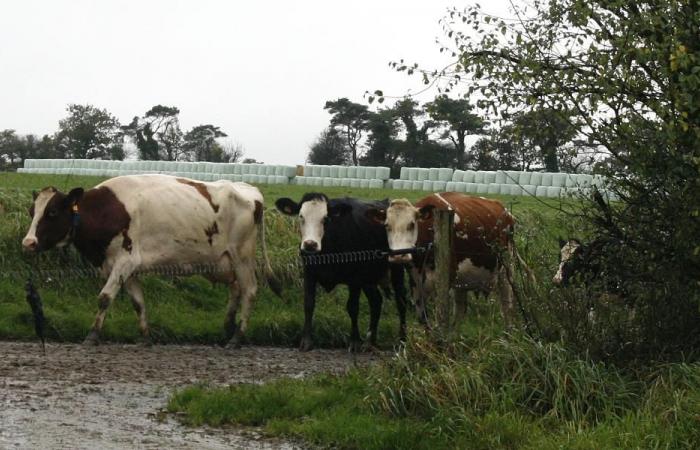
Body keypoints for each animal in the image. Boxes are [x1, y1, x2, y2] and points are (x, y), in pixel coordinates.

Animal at [19, 174, 276, 346]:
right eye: (32, 212)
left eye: (52, 212)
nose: (28, 242)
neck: (106, 210)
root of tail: (250, 189)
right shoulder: (126, 268)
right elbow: (138, 303)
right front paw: (144, 337)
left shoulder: (126, 260)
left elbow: (104, 297)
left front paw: (92, 336)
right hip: (220, 263)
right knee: (235, 289)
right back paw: (228, 326)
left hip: (242, 256)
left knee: (249, 291)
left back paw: (237, 337)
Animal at [274, 193, 408, 352]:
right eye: (301, 216)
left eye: (325, 218)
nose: (310, 244)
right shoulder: (309, 273)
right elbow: (308, 304)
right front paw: (306, 341)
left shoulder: (354, 279)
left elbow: (353, 307)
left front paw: (354, 341)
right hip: (368, 277)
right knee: (376, 301)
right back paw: (370, 341)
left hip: (396, 269)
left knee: (401, 301)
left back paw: (402, 340)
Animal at [366, 192, 532, 326]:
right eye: (387, 225)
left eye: (412, 224)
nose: (399, 255)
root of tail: (505, 211)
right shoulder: (416, 282)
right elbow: (424, 319)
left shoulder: (446, 279)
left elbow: (441, 318)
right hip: (463, 280)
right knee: (460, 311)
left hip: (506, 269)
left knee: (507, 306)